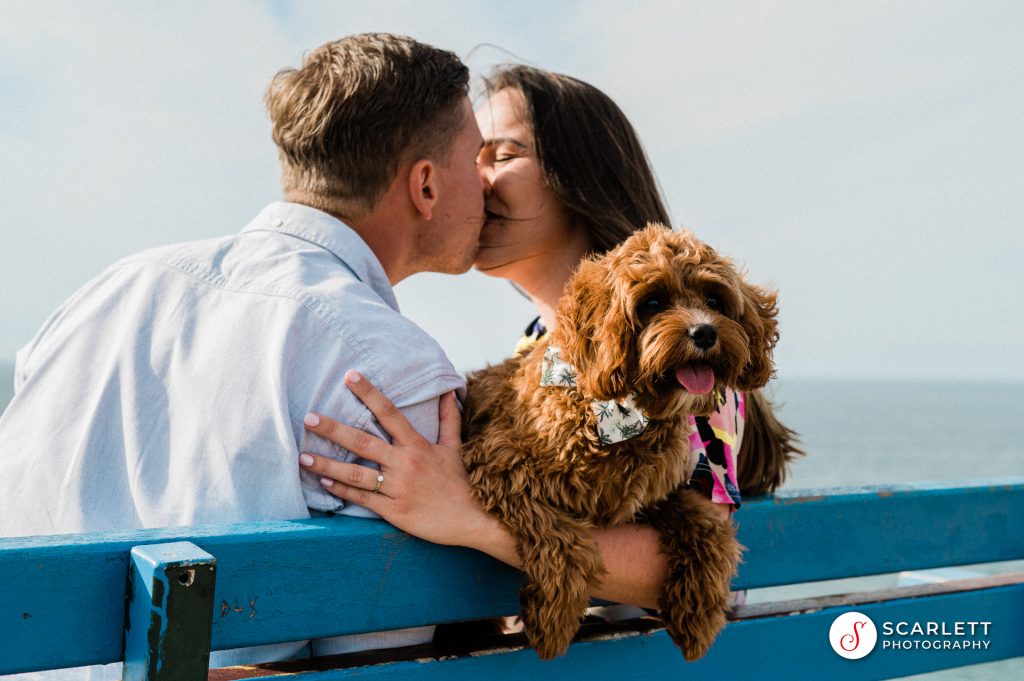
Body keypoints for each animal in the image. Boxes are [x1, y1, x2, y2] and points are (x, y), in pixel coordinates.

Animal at [460, 223, 778, 659]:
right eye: (652, 302)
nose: (705, 331)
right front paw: (555, 617)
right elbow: (560, 533)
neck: (617, 413)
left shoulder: (655, 495)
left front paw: (697, 612)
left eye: (715, 299)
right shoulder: (500, 462)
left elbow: (707, 524)